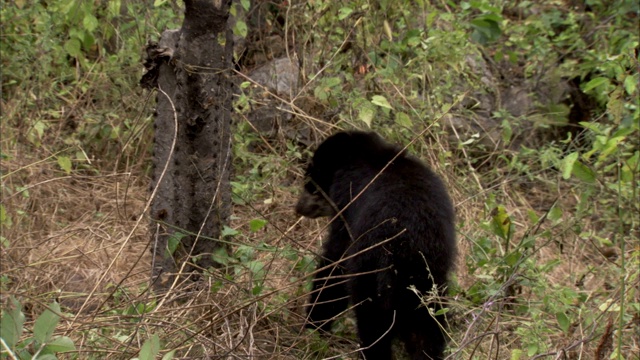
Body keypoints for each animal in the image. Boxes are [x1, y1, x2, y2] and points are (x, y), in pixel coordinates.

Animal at [298, 131, 458, 360]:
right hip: (429, 282)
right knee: (428, 328)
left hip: (374, 273)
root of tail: (407, 246)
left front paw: (314, 324)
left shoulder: (349, 204)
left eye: (311, 182)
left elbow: (335, 262)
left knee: (372, 323)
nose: (298, 207)